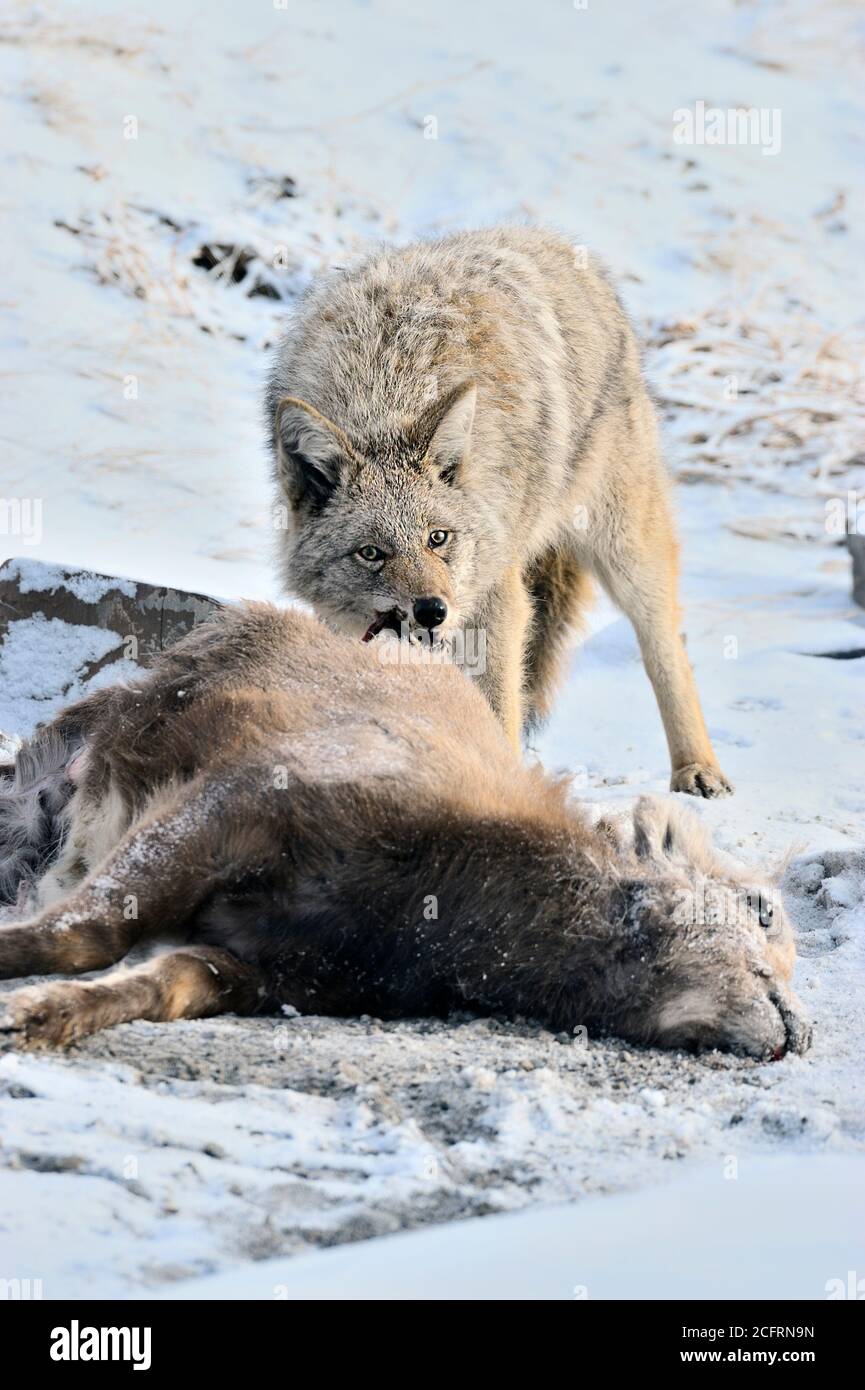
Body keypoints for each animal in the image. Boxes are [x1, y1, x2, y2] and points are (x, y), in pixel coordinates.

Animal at [1, 606, 812, 1050]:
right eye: (760, 908)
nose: (797, 1032)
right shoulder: (232, 802)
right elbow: (84, 933)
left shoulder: (274, 972)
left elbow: (157, 983)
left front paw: (34, 1019)